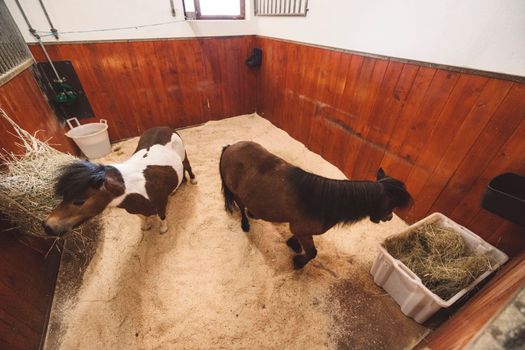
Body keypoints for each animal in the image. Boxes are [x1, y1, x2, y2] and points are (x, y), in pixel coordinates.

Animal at [43, 127, 196, 237]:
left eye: (79, 201)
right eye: (64, 197)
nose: (47, 226)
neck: (134, 188)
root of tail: (165, 128)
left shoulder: (160, 203)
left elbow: (162, 217)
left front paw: (163, 229)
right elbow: (142, 217)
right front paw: (146, 226)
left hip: (184, 156)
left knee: (187, 167)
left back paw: (193, 180)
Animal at [219, 141, 412, 270]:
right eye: (392, 203)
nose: (390, 218)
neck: (323, 201)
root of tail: (230, 146)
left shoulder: (301, 229)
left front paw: (294, 245)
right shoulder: (302, 229)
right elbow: (312, 253)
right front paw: (298, 262)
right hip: (236, 194)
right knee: (241, 207)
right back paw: (245, 223)